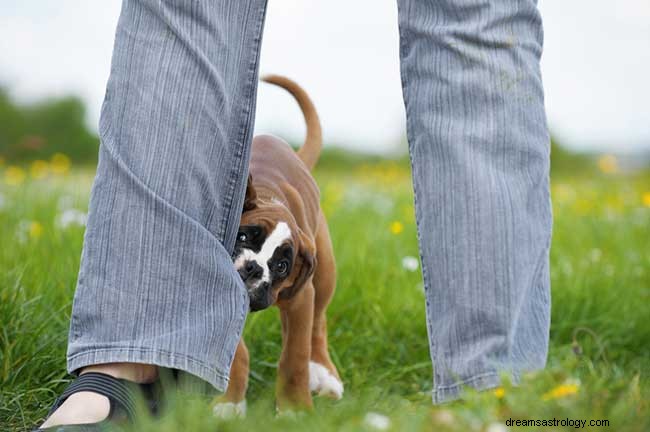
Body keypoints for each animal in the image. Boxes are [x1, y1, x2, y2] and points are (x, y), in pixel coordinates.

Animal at [214, 73, 344, 416]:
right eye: (243, 236)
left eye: (282, 265)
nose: (252, 268)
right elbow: (236, 353)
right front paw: (230, 403)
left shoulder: (301, 299)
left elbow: (294, 357)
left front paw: (295, 409)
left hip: (323, 275)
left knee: (317, 326)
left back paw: (323, 374)